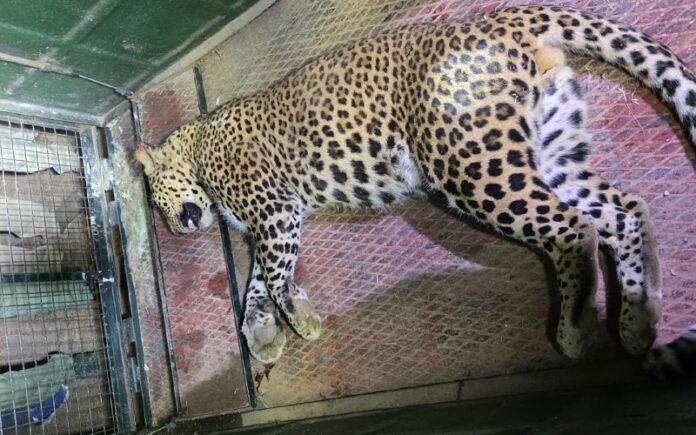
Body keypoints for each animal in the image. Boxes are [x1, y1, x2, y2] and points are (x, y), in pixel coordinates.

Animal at [135, 5, 696, 376]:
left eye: (158, 205)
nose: (178, 229)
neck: (196, 143)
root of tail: (499, 19)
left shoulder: (275, 211)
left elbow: (272, 277)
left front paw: (301, 322)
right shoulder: (269, 224)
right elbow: (254, 283)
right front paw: (264, 335)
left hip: (469, 165)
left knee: (572, 228)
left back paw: (576, 329)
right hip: (552, 150)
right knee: (624, 210)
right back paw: (637, 320)